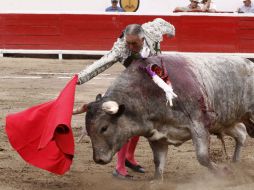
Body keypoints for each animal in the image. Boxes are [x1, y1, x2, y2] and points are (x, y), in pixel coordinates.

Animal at [77, 54, 254, 179]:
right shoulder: (157, 135)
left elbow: (203, 157)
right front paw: (156, 181)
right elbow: (159, 162)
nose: (98, 159)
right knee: (241, 133)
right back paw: (236, 163)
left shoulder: (199, 125)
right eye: (88, 131)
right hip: (225, 121)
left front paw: (223, 172)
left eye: (104, 128)